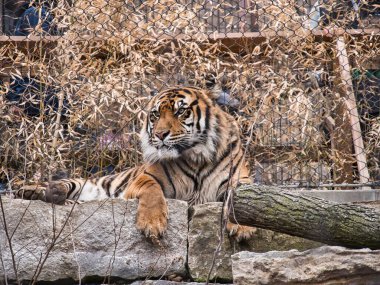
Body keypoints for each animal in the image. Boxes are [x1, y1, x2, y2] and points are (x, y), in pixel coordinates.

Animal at [16, 86, 256, 240]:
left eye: (180, 111)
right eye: (156, 114)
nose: (160, 134)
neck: (196, 156)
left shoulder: (239, 180)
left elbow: (241, 201)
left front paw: (243, 227)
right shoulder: (146, 178)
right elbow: (152, 192)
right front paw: (152, 224)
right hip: (88, 183)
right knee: (62, 184)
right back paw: (36, 191)